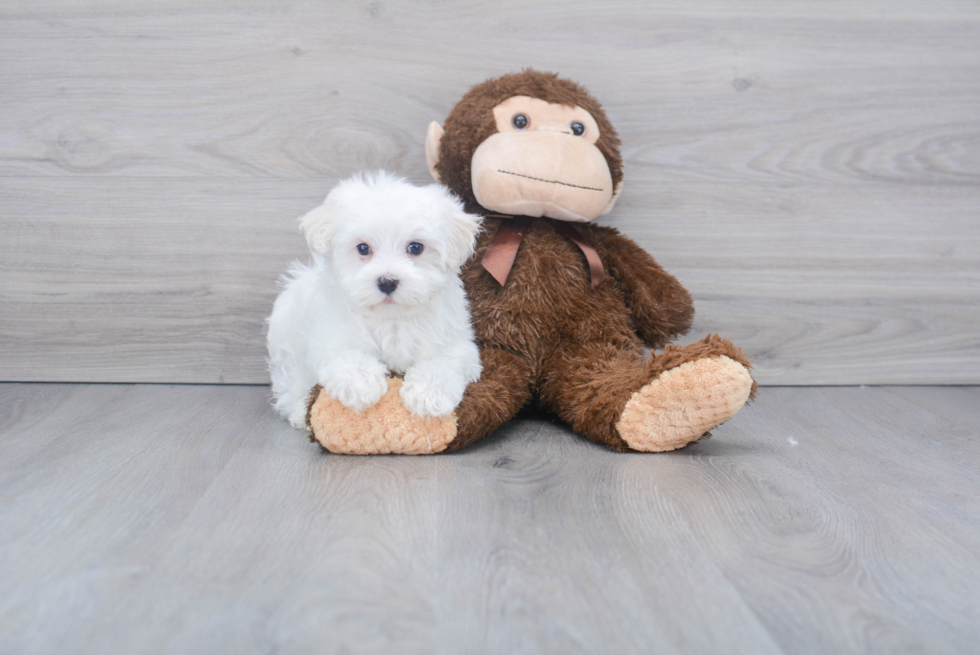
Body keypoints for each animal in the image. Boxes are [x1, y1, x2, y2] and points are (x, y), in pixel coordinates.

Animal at [268, 172, 482, 430]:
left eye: (416, 247)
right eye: (363, 248)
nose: (387, 281)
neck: (391, 317)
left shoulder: (454, 342)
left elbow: (444, 361)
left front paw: (429, 394)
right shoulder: (330, 334)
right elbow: (345, 353)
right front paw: (361, 384)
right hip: (287, 346)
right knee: (291, 384)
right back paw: (300, 410)